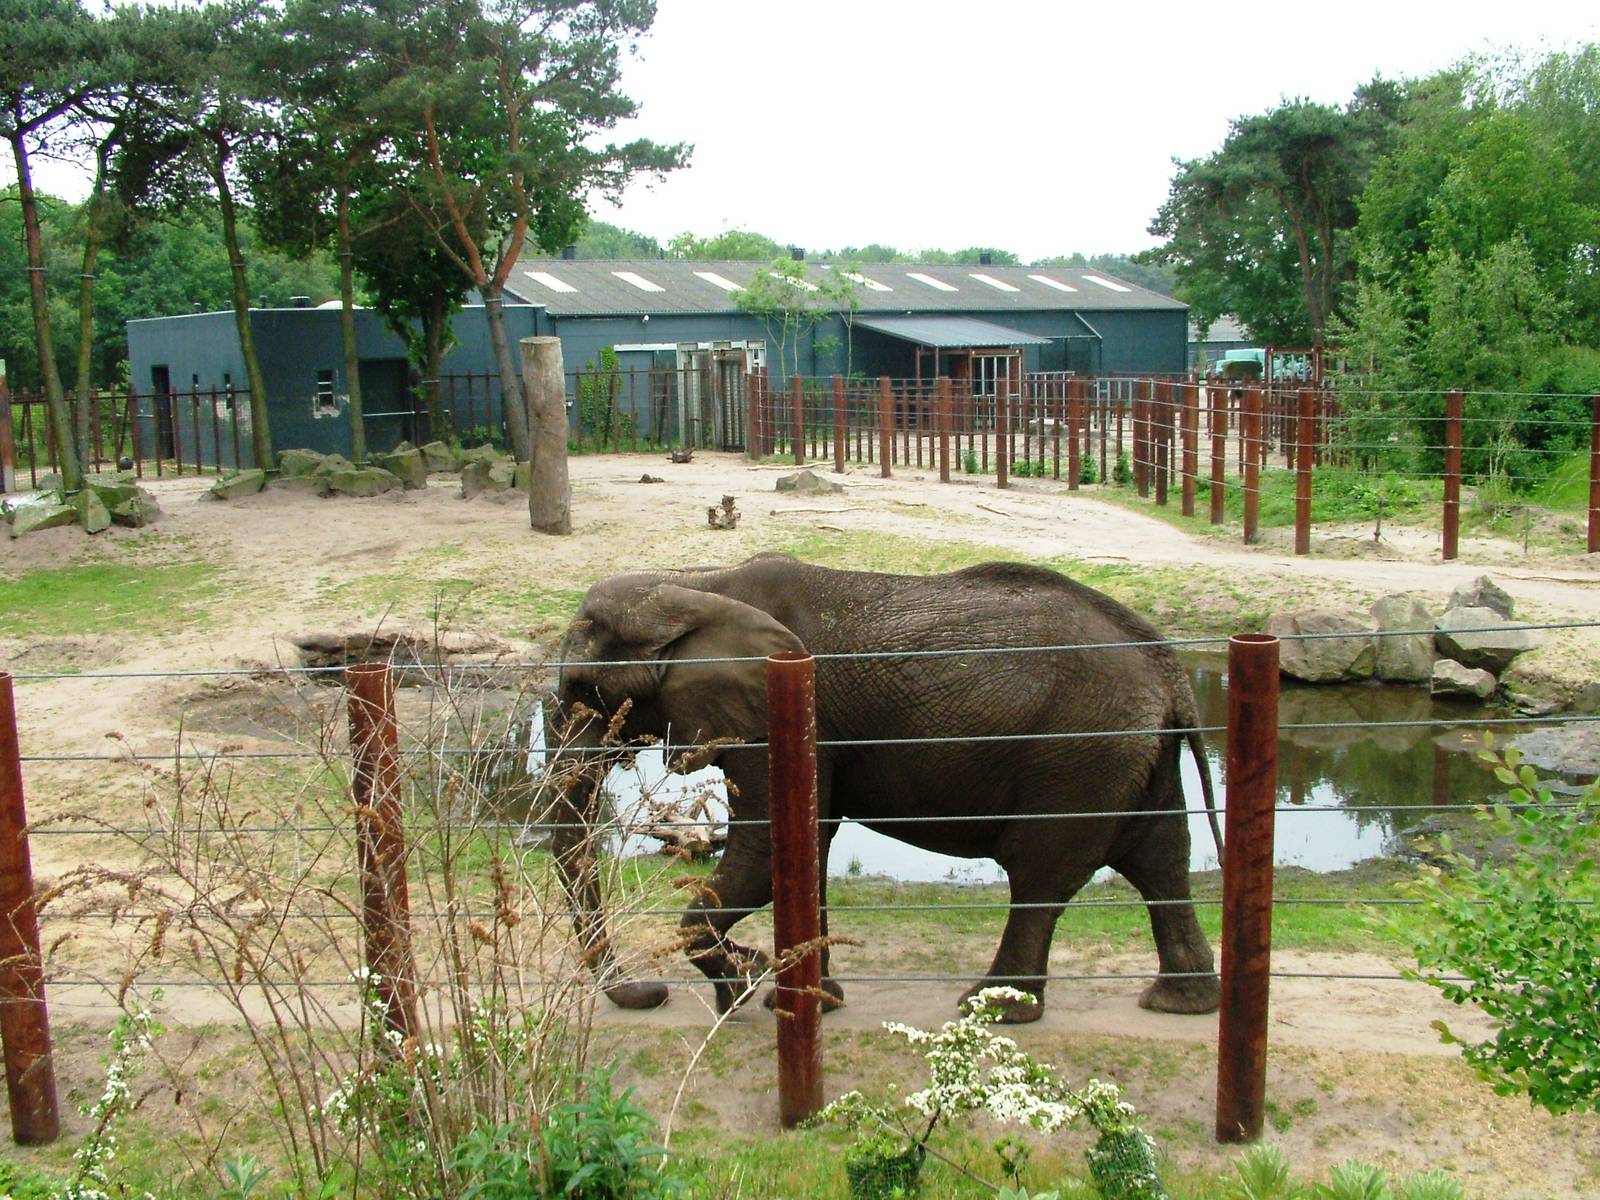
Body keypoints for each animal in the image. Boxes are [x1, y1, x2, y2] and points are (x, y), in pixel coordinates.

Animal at [546, 553, 1221, 1024]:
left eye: (583, 688)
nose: (652, 993)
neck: (695, 585)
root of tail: (1170, 669)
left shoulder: (781, 709)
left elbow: (767, 850)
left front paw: (746, 986)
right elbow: (805, 845)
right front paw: (804, 998)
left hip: (1080, 753)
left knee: (1041, 872)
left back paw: (992, 1009)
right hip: (1131, 755)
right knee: (1161, 859)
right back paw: (1179, 1004)